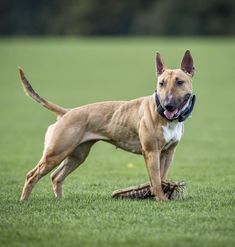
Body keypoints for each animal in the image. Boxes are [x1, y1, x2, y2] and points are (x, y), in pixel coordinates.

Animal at [18, 49, 195, 201]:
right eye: (161, 83)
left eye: (180, 82)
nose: (168, 105)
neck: (165, 117)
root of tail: (66, 112)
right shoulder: (152, 152)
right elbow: (156, 180)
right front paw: (161, 199)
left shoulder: (168, 152)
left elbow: (161, 177)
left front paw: (164, 192)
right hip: (55, 153)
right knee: (32, 175)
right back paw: (24, 201)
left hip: (76, 155)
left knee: (56, 177)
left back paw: (59, 200)